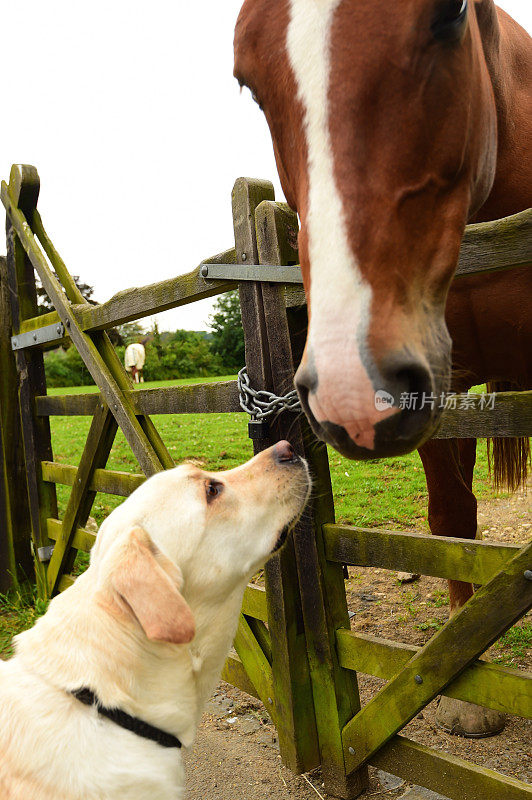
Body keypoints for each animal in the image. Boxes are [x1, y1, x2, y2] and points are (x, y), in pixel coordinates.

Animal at [236, 1, 532, 736]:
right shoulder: (442, 387)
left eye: (451, 12)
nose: (351, 388)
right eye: (247, 84)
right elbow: (453, 518)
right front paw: (466, 687)